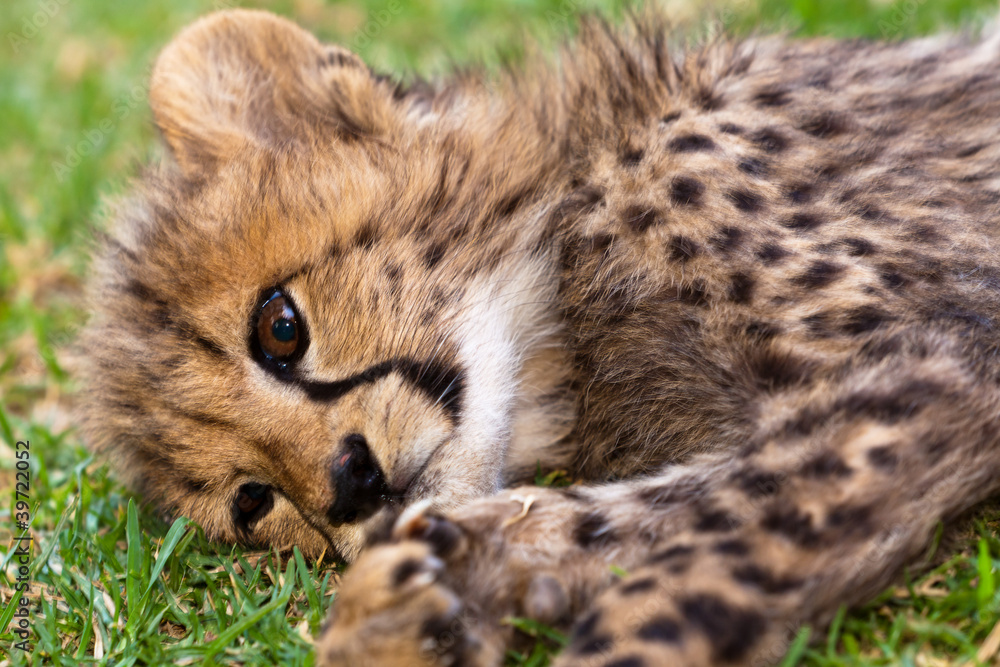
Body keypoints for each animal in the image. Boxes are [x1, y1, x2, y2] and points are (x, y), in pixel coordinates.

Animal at [79, 6, 1000, 666]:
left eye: (279, 326)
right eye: (252, 500)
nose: (349, 485)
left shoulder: (939, 362)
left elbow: (729, 525)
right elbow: (637, 507)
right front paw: (411, 606)